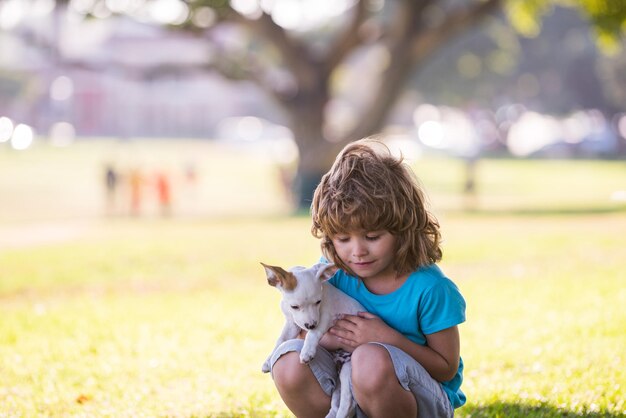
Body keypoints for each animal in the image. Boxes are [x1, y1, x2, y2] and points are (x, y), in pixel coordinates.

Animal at [260, 262, 364, 418]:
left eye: (318, 302)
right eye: (294, 306)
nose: (310, 325)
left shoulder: (325, 317)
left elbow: (312, 334)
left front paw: (307, 352)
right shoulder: (292, 324)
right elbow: (281, 340)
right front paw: (268, 360)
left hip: (349, 369)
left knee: (347, 404)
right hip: (339, 380)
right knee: (337, 404)